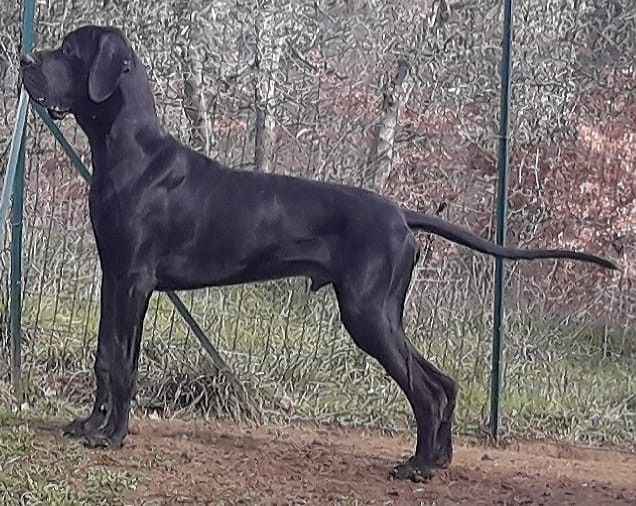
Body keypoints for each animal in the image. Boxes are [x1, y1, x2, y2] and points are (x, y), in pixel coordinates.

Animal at [19, 25, 618, 482]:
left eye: (69, 51)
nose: (24, 60)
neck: (128, 152)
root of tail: (401, 214)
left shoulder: (135, 280)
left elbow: (121, 363)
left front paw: (113, 436)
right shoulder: (115, 275)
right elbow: (106, 356)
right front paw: (91, 426)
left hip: (366, 313)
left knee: (425, 390)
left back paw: (418, 466)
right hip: (381, 313)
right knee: (442, 383)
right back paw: (439, 459)